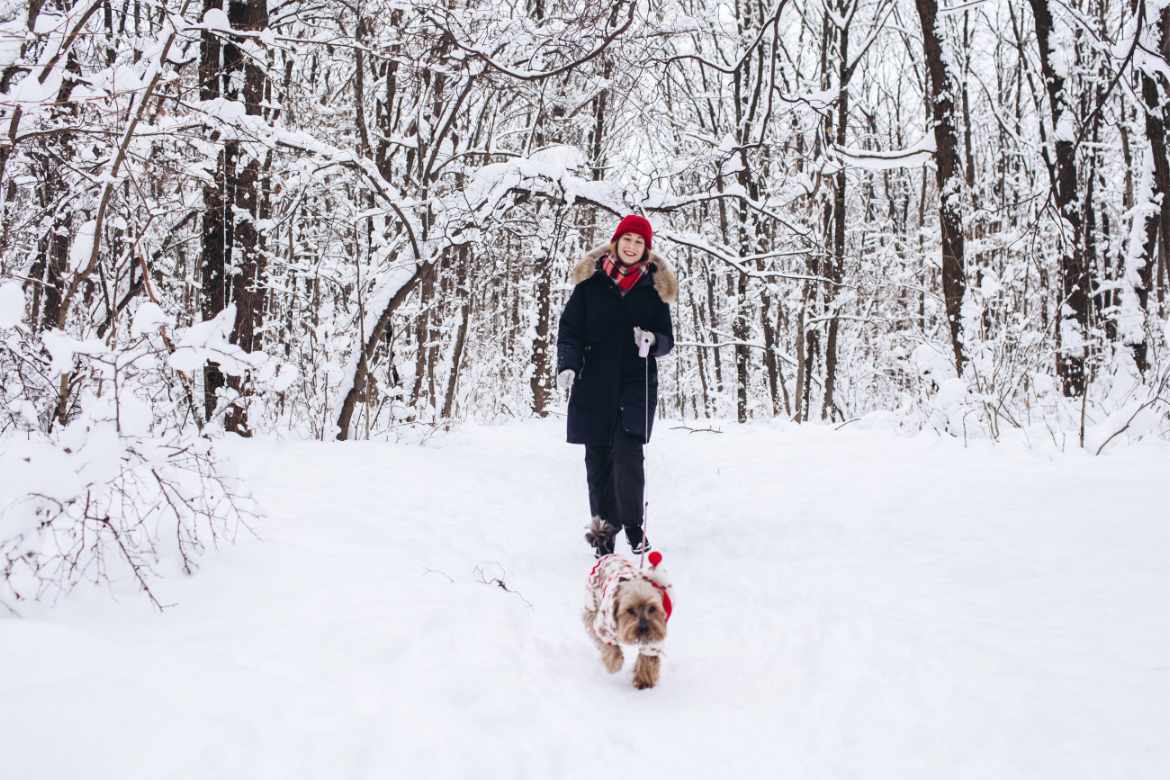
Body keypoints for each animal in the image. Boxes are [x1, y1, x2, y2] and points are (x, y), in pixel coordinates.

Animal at [582, 549, 673, 687]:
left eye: (652, 608)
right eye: (630, 610)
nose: (643, 627)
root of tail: (608, 554)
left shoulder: (654, 637)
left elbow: (647, 657)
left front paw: (644, 681)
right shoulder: (604, 627)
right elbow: (610, 647)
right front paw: (615, 663)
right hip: (592, 603)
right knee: (591, 625)